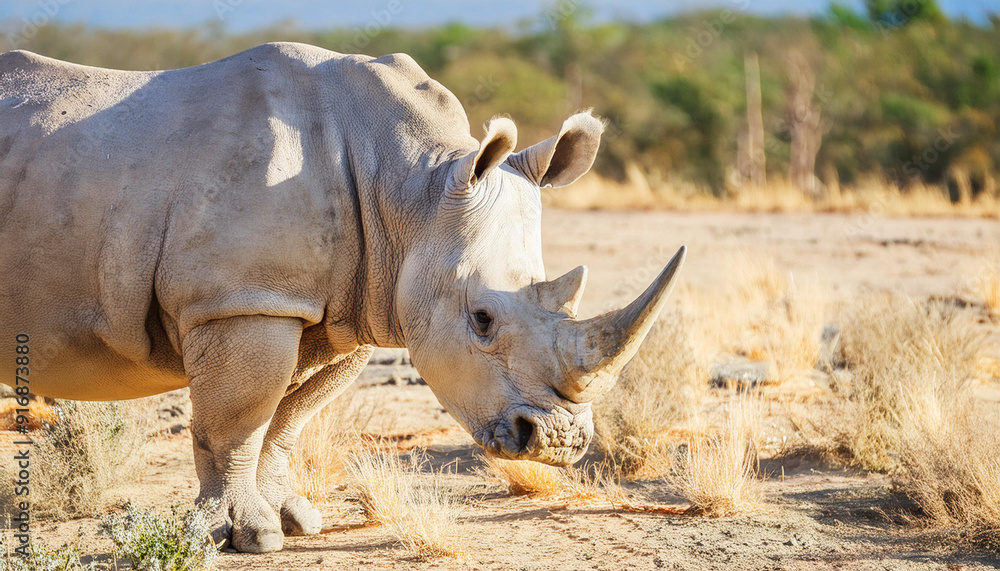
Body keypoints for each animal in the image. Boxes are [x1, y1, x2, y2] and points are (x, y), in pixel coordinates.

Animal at [0, 42, 684, 552]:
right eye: (482, 319)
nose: (559, 443)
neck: (410, 191)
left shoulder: (341, 307)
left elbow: (286, 418)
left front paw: (295, 520)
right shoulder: (245, 299)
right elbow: (236, 422)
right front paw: (244, 536)